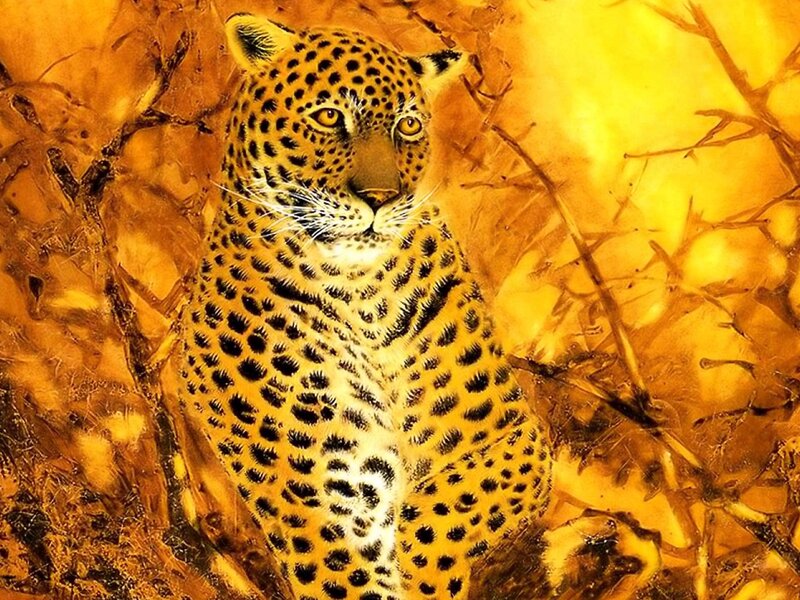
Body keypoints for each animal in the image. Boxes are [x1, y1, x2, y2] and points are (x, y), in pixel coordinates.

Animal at [178, 13, 552, 600]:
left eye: (408, 126)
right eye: (330, 117)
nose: (380, 198)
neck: (359, 291)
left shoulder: (509, 430)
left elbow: (450, 501)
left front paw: (423, 571)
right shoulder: (318, 491)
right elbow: (351, 574)